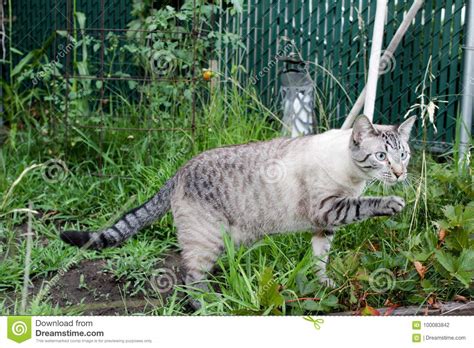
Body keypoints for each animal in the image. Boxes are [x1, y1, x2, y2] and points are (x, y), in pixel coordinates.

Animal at [60, 115, 414, 306]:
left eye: (404, 155)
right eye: (381, 156)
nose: (400, 174)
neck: (356, 179)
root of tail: (179, 170)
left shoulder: (324, 226)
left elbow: (320, 258)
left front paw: (323, 283)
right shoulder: (329, 209)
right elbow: (365, 206)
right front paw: (393, 204)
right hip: (206, 240)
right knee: (189, 277)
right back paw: (208, 304)